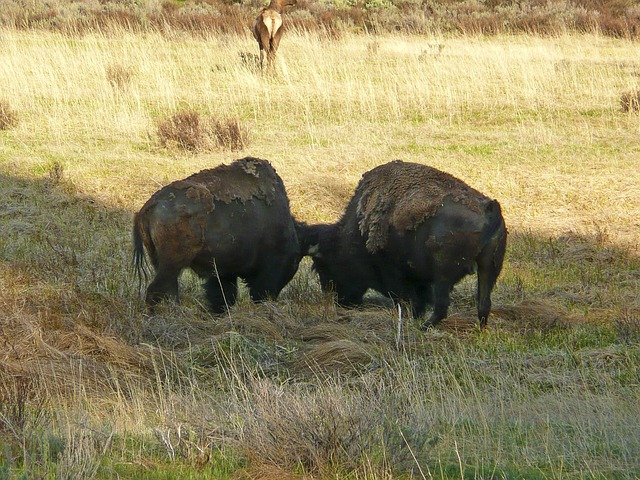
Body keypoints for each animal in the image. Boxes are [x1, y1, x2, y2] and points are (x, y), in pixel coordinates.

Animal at [133, 158, 302, 314]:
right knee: (156, 291)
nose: (271, 297)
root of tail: (152, 204)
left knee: (169, 290)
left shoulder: (223, 272)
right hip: (171, 265)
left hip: (164, 265)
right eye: (294, 260)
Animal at [298, 161, 508, 330]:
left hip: (444, 275)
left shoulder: (395, 275)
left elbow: (407, 298)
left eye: (324, 267)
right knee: (483, 304)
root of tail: (489, 209)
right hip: (488, 268)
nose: (341, 302)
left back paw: (423, 328)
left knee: (442, 306)